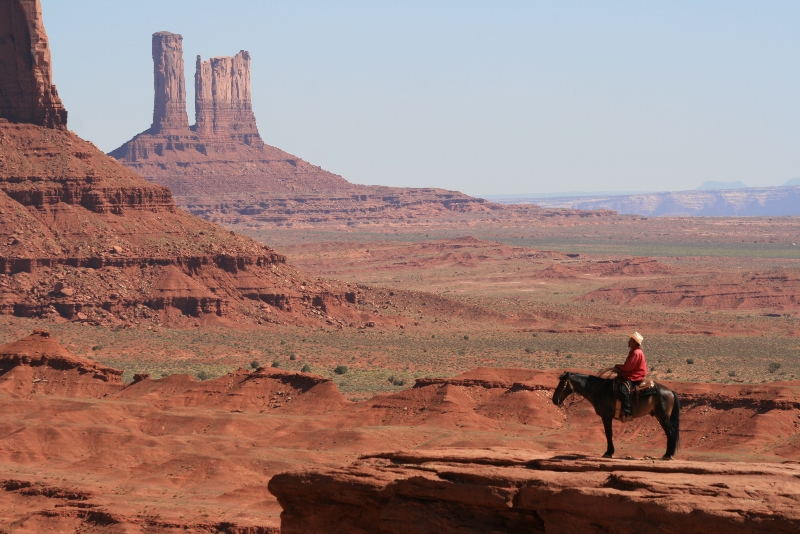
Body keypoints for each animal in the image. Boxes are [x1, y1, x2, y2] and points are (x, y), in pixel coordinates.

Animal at [552, 372, 680, 460]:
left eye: (562, 384)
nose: (554, 400)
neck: (600, 390)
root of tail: (671, 391)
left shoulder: (606, 416)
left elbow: (608, 434)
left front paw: (608, 452)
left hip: (663, 416)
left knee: (671, 432)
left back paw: (667, 455)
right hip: (660, 416)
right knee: (669, 433)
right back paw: (668, 454)